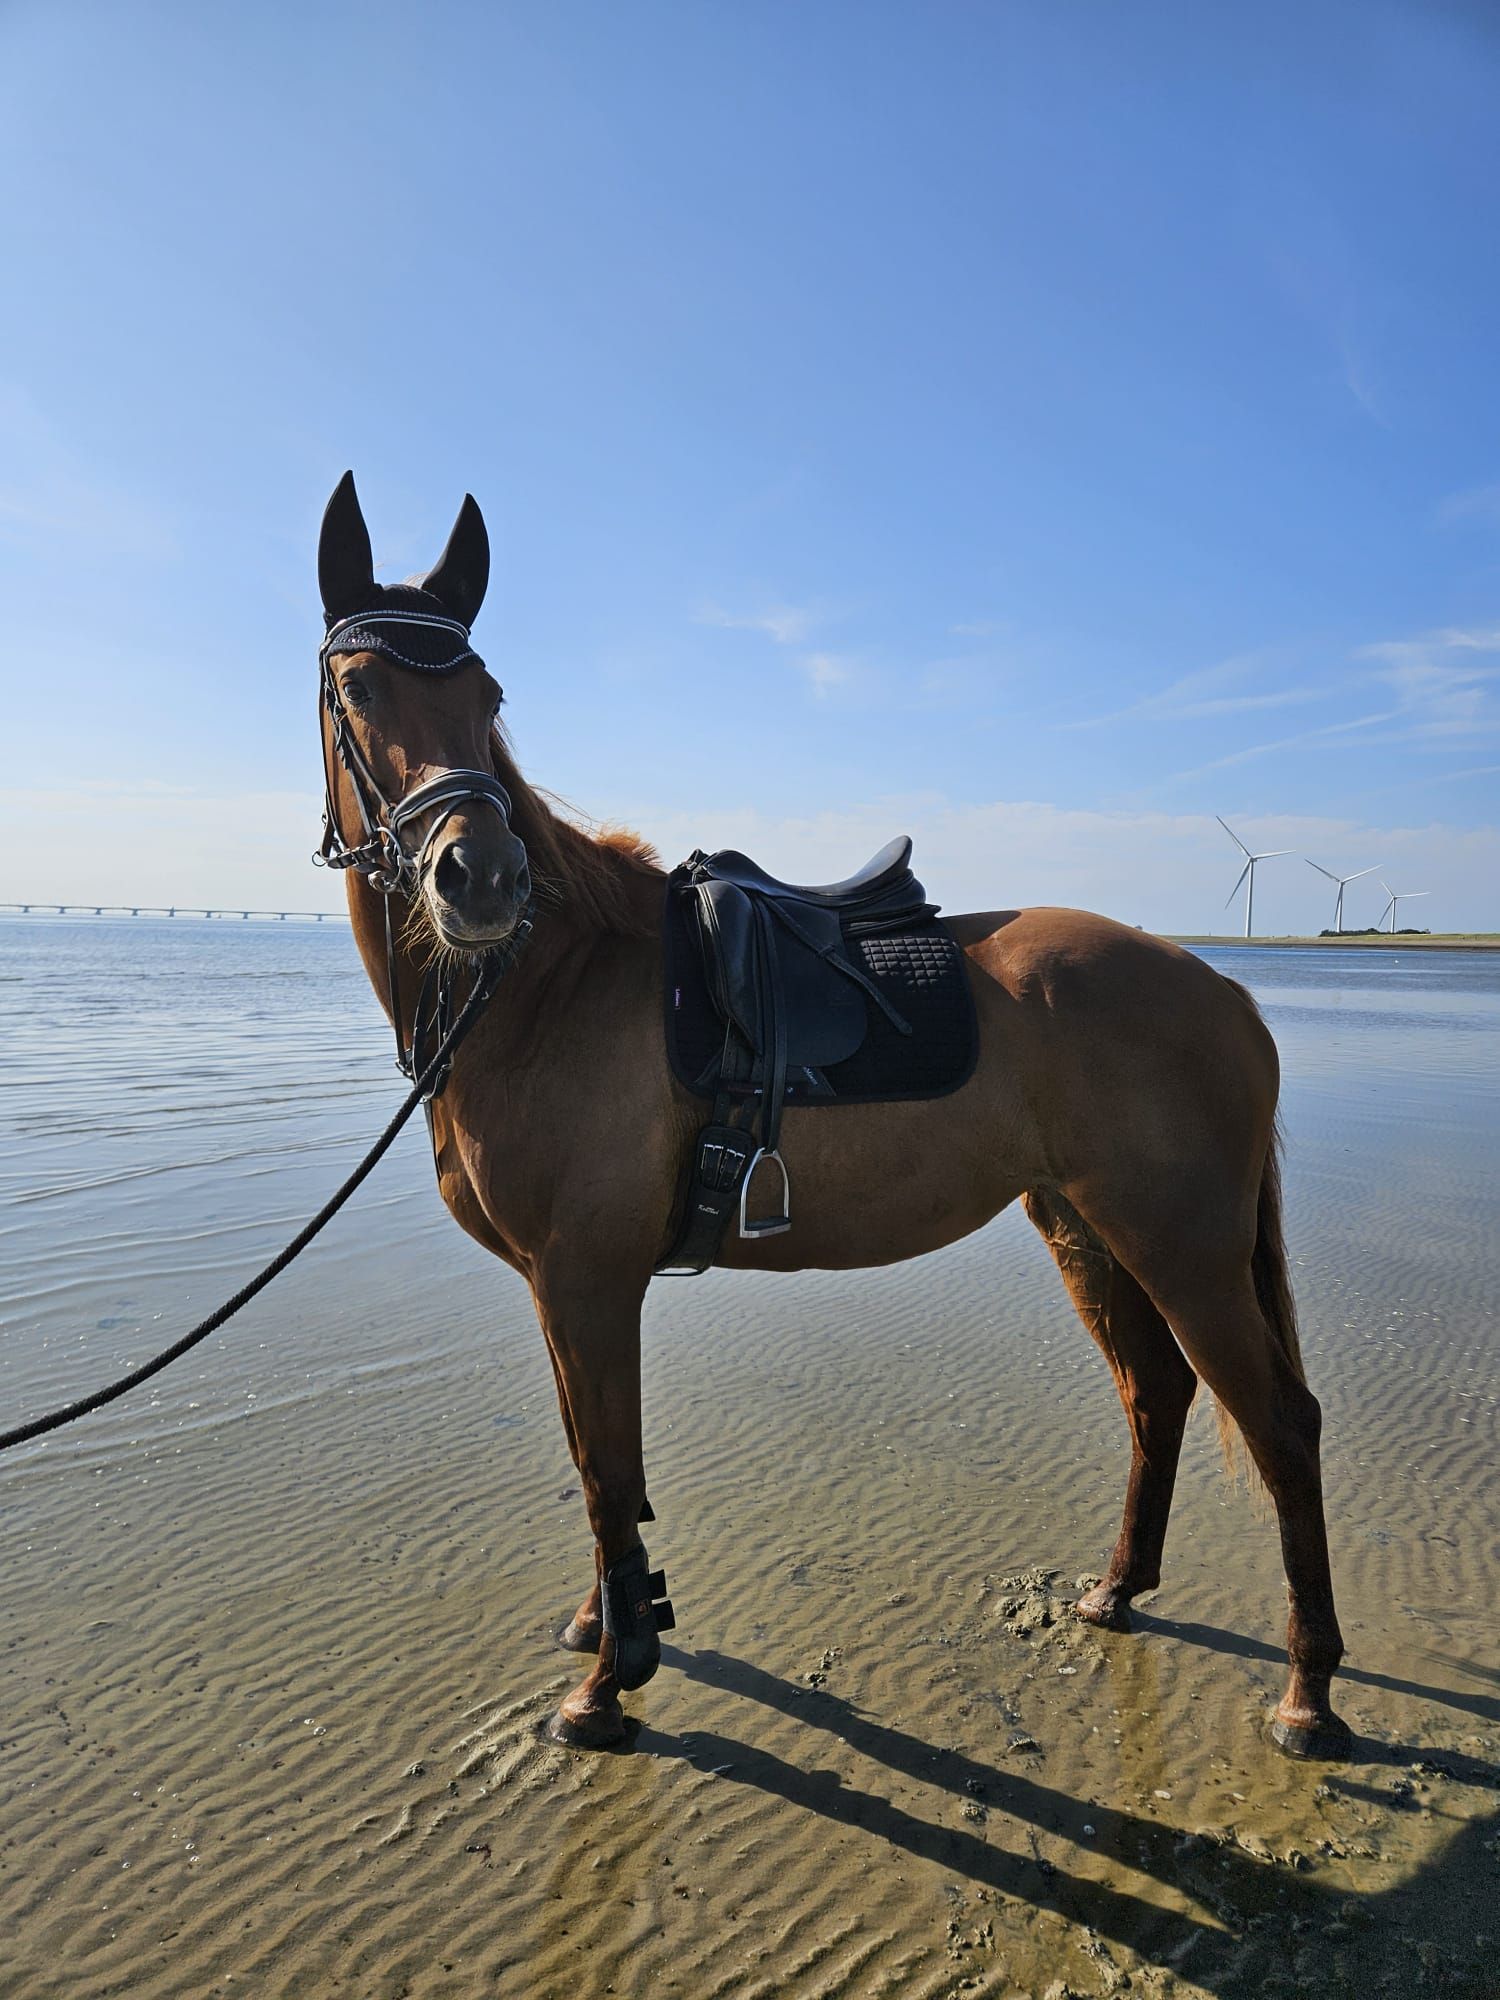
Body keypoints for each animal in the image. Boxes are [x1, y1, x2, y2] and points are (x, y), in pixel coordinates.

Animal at [313, 472, 1350, 1760]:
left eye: (487, 695)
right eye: (362, 687)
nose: (482, 878)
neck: (546, 984)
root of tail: (1224, 989)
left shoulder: (586, 1279)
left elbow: (605, 1471)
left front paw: (608, 1684)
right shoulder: (566, 1291)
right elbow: (601, 1464)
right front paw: (604, 1622)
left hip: (1184, 1247)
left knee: (1283, 1426)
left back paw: (1309, 1694)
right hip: (1086, 1229)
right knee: (1155, 1393)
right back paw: (1116, 1592)